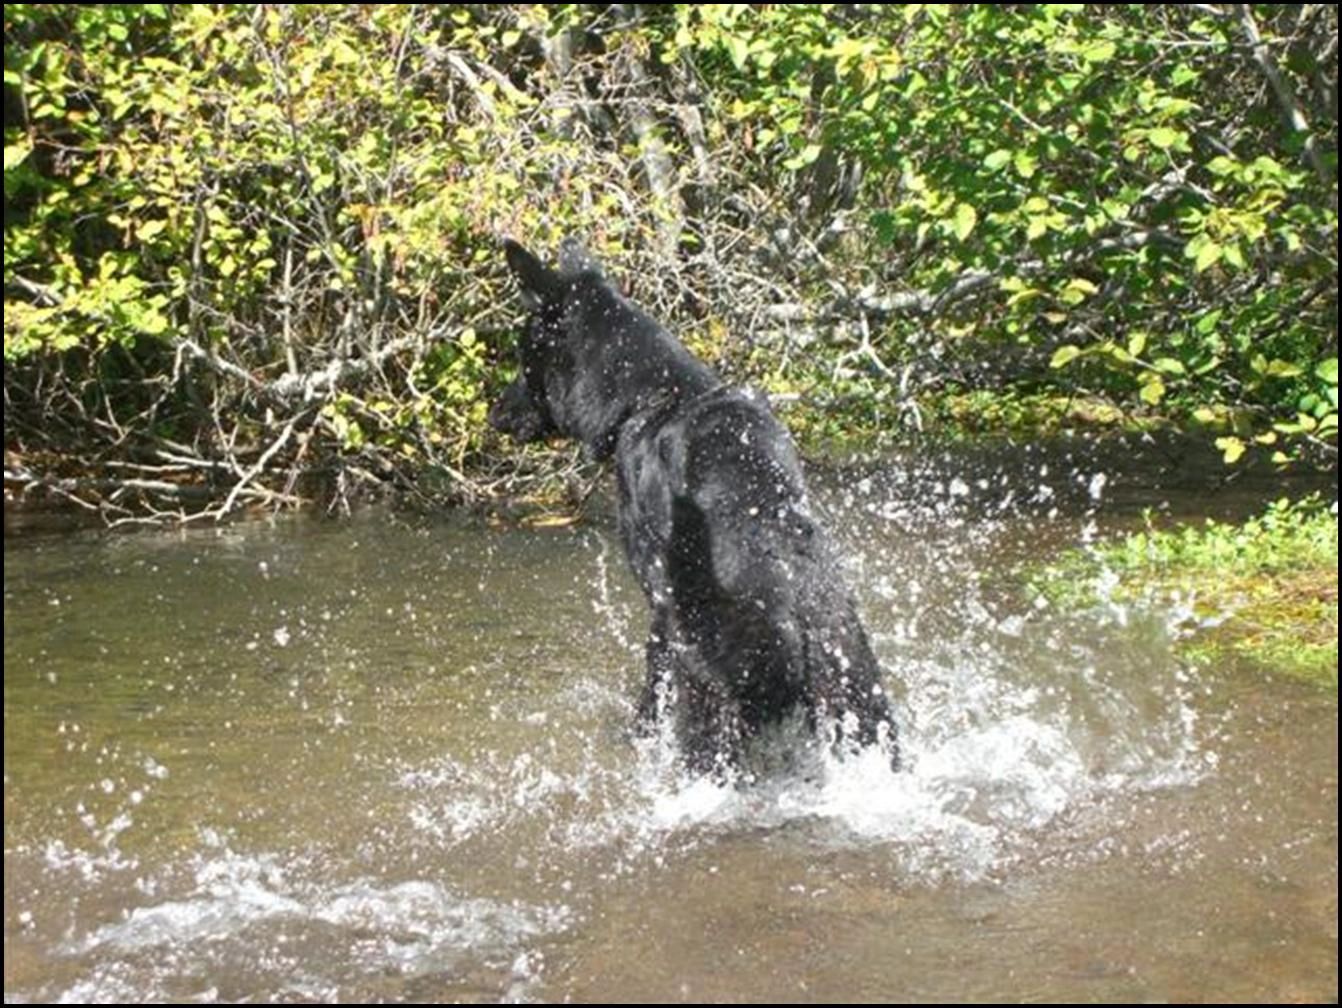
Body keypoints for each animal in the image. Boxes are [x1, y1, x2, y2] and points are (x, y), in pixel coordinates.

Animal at [488, 240, 896, 778]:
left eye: (522, 357)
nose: (493, 414)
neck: (659, 391)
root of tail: (789, 627)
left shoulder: (660, 609)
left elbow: (650, 697)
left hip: (708, 705)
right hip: (863, 706)